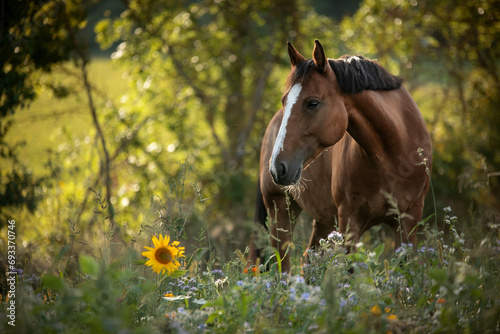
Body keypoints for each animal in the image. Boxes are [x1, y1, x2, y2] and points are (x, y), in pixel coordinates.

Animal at [252, 39, 432, 274]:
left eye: (312, 103)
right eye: (285, 100)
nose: (277, 167)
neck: (392, 158)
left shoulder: (409, 220)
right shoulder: (350, 221)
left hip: (324, 221)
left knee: (307, 261)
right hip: (281, 211)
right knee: (283, 267)